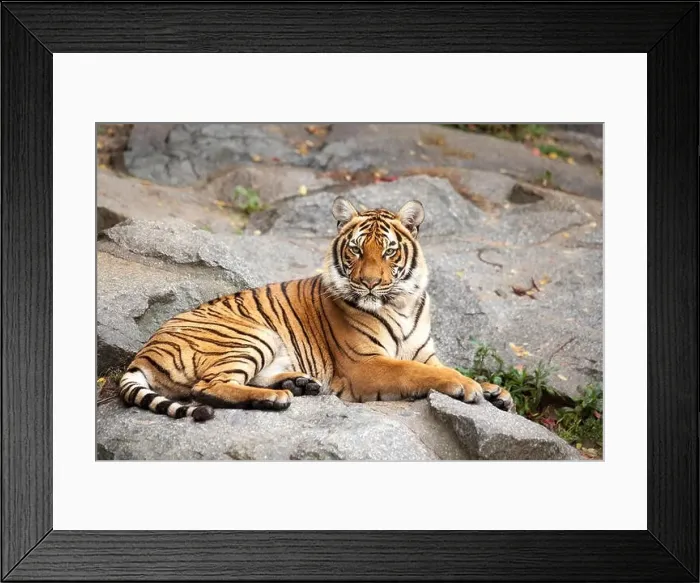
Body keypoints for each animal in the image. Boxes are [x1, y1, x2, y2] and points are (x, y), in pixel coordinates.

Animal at [118, 197, 514, 421]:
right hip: (250, 336)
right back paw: (275, 397)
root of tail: (144, 352)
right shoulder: (365, 365)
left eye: (389, 251)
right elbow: (418, 372)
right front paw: (466, 386)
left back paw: (299, 383)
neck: (400, 302)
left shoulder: (424, 352)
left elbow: (437, 366)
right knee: (206, 387)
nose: (370, 282)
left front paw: (496, 391)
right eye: (356, 250)